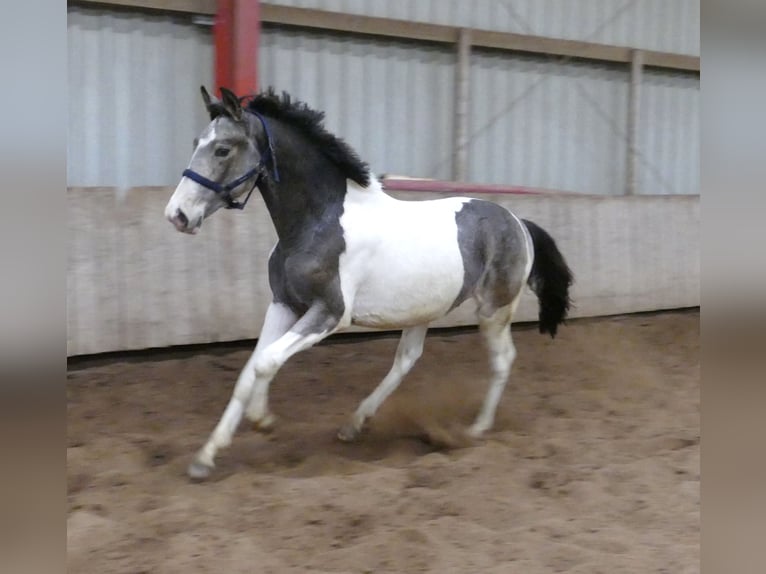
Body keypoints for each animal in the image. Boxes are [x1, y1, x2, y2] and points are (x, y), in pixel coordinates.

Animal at [164, 86, 573, 480]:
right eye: (197, 142)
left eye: (222, 149)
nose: (177, 215)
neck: (319, 223)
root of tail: (518, 222)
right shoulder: (283, 304)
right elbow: (252, 366)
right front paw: (206, 457)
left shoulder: (330, 313)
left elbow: (266, 361)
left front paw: (261, 420)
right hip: (423, 309)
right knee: (406, 360)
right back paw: (354, 425)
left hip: (493, 310)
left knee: (502, 359)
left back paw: (476, 430)